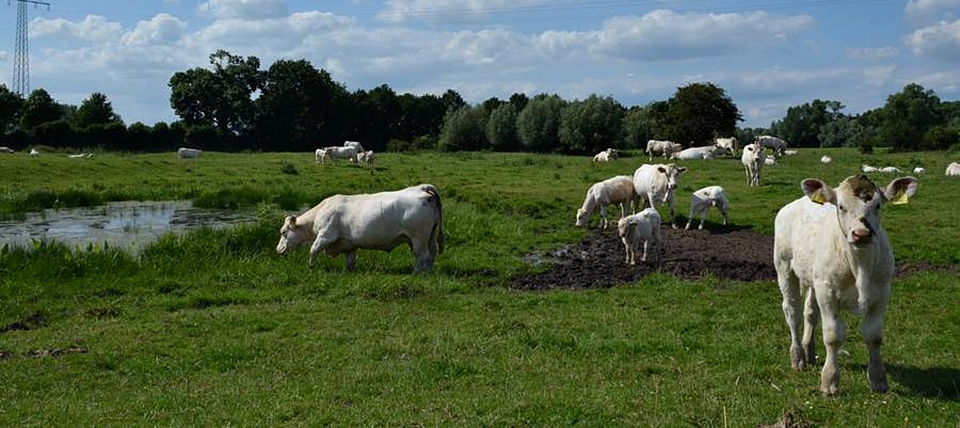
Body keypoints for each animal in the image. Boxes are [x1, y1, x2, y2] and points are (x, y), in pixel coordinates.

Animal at [276, 183, 444, 270]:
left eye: (283, 232)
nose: (277, 249)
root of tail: (422, 188)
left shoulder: (325, 235)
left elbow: (313, 249)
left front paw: (311, 267)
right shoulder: (349, 243)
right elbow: (350, 260)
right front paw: (347, 272)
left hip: (419, 238)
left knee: (422, 255)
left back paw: (417, 273)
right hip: (431, 235)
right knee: (432, 253)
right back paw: (428, 271)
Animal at [772, 176, 916, 396]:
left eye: (878, 205)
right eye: (841, 206)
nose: (862, 234)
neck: (859, 265)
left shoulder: (882, 293)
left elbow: (874, 335)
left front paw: (878, 379)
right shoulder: (828, 294)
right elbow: (833, 336)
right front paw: (829, 381)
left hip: (814, 278)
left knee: (810, 312)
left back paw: (808, 350)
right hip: (784, 266)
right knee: (792, 313)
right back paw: (797, 357)